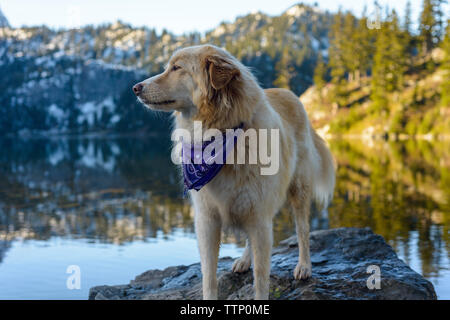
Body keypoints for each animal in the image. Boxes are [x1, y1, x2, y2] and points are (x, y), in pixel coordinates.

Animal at [133, 45, 334, 300]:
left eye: (177, 68)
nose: (135, 88)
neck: (221, 134)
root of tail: (288, 93)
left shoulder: (259, 215)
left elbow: (261, 277)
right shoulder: (208, 220)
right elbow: (209, 275)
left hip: (298, 190)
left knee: (303, 229)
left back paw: (304, 266)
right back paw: (244, 261)